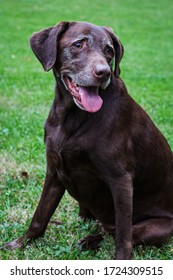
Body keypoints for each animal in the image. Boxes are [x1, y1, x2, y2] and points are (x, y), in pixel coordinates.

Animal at [4, 20, 173, 260]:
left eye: (109, 51)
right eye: (78, 44)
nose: (104, 73)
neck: (72, 115)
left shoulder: (121, 180)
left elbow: (124, 236)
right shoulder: (54, 171)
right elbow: (40, 216)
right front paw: (22, 243)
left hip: (157, 227)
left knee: (120, 232)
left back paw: (91, 240)